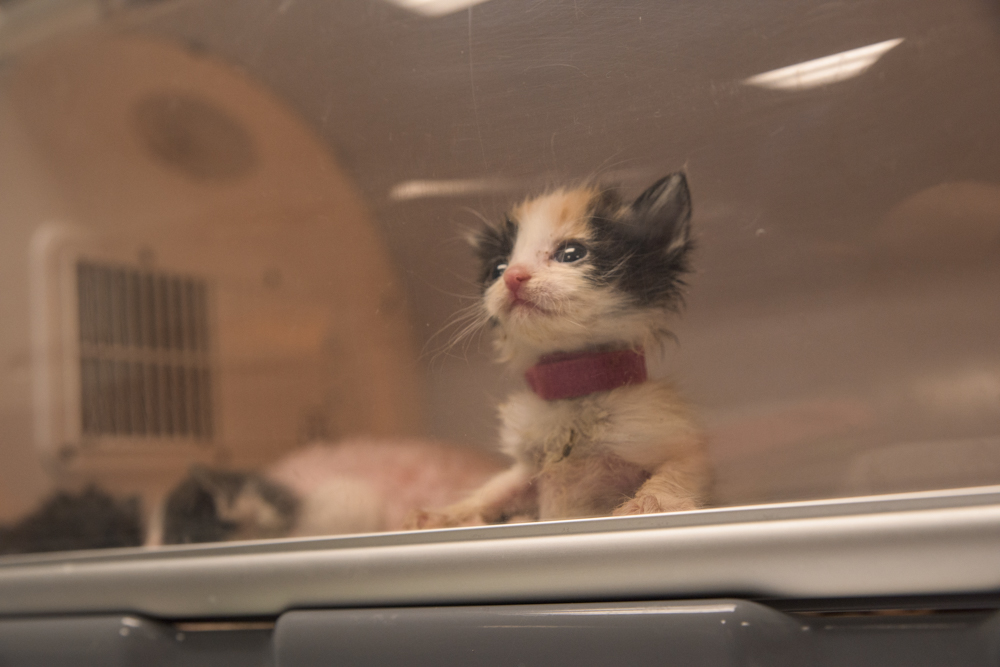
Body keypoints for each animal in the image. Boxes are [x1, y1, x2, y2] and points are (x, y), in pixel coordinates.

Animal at [410, 175, 708, 528]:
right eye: (498, 268)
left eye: (572, 253)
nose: (513, 277)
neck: (573, 388)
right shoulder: (527, 468)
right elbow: (496, 489)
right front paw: (443, 516)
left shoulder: (678, 443)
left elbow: (677, 471)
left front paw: (653, 505)